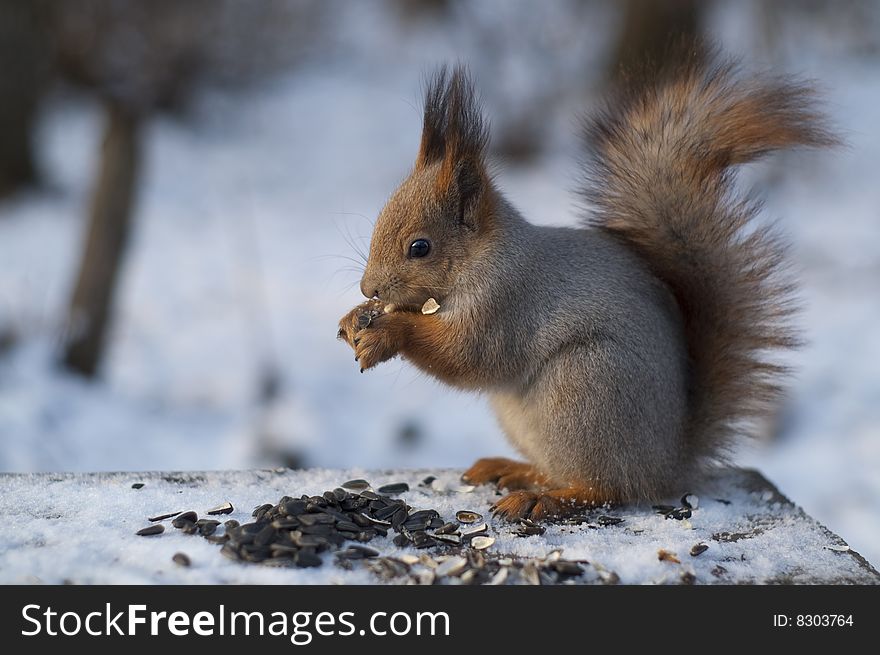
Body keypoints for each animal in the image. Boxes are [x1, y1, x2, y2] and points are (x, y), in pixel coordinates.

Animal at [336, 53, 832, 520]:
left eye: (420, 247)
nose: (368, 290)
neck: (483, 258)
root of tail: (667, 465)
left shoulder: (506, 301)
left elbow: (467, 355)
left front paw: (388, 332)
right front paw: (352, 320)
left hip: (584, 389)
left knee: (604, 488)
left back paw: (543, 500)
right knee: (563, 471)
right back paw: (516, 471)